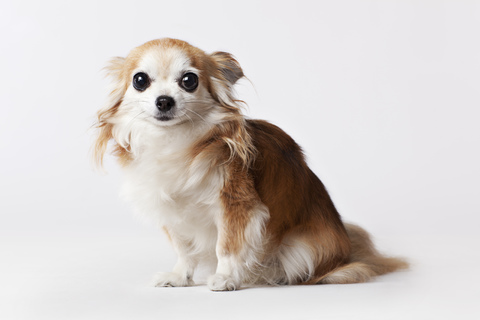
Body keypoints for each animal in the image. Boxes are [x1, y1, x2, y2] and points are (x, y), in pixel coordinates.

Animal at [94, 37, 408, 290]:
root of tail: (349, 249)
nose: (164, 101)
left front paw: (225, 278)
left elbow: (227, 246)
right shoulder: (172, 209)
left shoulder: (237, 204)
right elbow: (184, 249)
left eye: (189, 80)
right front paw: (180, 277)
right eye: (140, 80)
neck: (176, 142)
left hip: (303, 250)